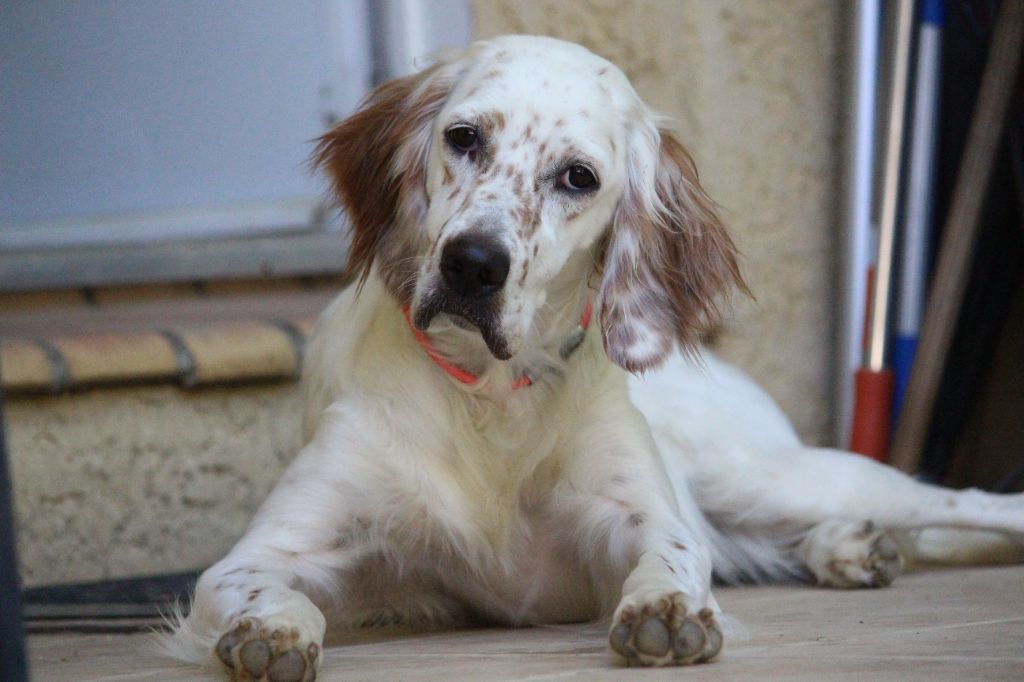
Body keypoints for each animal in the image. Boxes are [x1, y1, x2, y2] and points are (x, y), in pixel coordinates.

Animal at [161, 38, 1024, 679]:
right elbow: (264, 590)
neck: (491, 401)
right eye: (464, 137)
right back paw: (846, 547)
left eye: (577, 177)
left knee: (960, 502)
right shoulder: (264, 554)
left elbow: (672, 559)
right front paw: (270, 631)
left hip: (767, 476)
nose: (473, 264)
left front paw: (666, 612)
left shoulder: (639, 519)